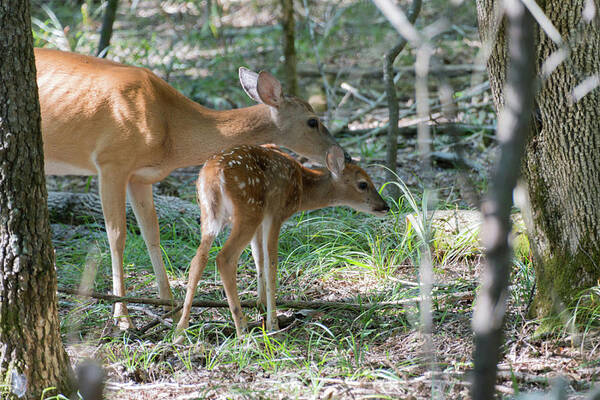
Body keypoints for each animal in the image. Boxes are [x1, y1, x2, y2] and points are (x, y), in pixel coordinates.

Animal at [36, 48, 346, 330]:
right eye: (313, 121)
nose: (342, 153)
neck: (169, 130)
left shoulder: (141, 176)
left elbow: (151, 235)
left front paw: (169, 308)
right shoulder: (111, 162)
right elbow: (117, 237)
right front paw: (123, 318)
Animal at [175, 144, 390, 338]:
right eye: (363, 184)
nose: (385, 206)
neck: (302, 188)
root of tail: (212, 175)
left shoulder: (263, 219)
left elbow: (259, 258)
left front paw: (261, 306)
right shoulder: (276, 213)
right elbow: (271, 263)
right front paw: (273, 324)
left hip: (210, 215)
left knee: (198, 259)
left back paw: (181, 328)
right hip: (248, 210)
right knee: (225, 258)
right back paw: (242, 330)